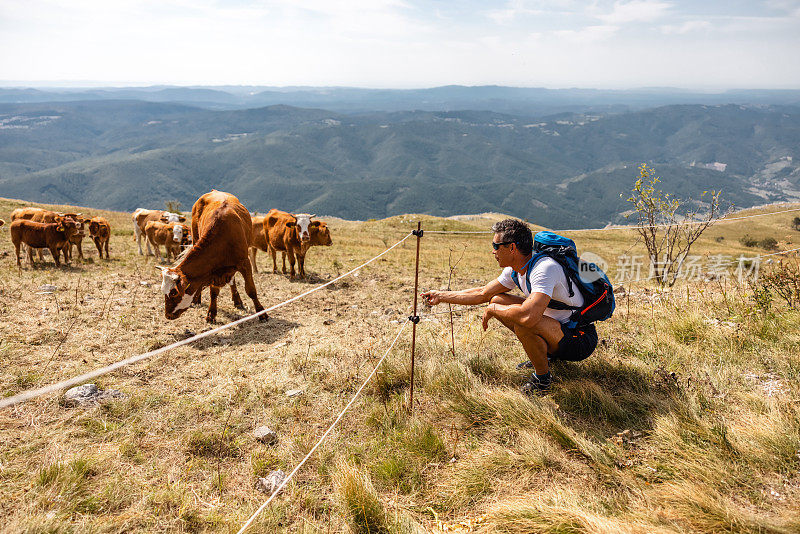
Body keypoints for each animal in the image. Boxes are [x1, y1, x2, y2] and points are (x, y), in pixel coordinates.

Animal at [155, 193, 266, 326]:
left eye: (173, 292)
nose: (168, 315)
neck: (223, 239)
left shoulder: (245, 263)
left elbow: (251, 290)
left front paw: (261, 312)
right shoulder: (213, 271)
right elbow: (213, 292)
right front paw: (211, 313)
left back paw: (237, 301)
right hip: (195, 237)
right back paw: (197, 299)